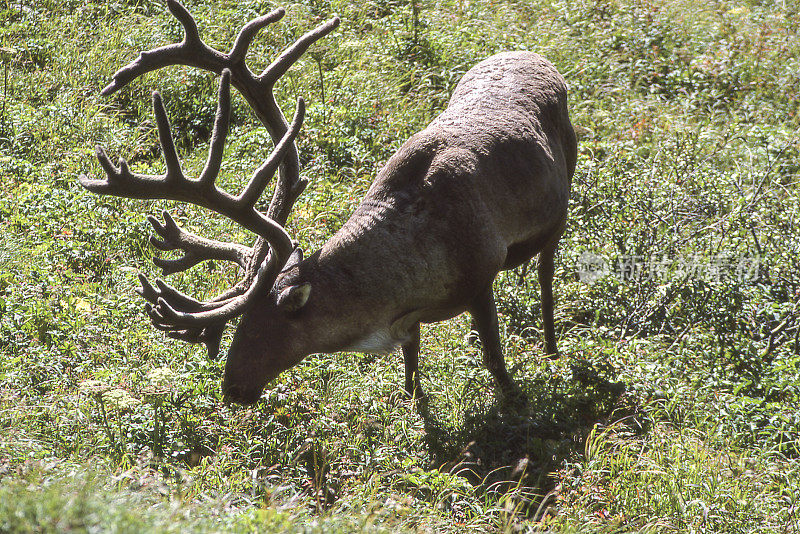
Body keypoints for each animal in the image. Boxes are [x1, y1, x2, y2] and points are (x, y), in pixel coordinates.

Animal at [79, 1, 576, 406]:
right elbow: (412, 364)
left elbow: (494, 357)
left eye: (264, 324)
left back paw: (553, 348)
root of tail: (538, 56)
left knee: (547, 274)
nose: (231, 389)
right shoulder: (411, 321)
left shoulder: (481, 273)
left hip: (561, 205)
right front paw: (413, 407)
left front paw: (515, 401)